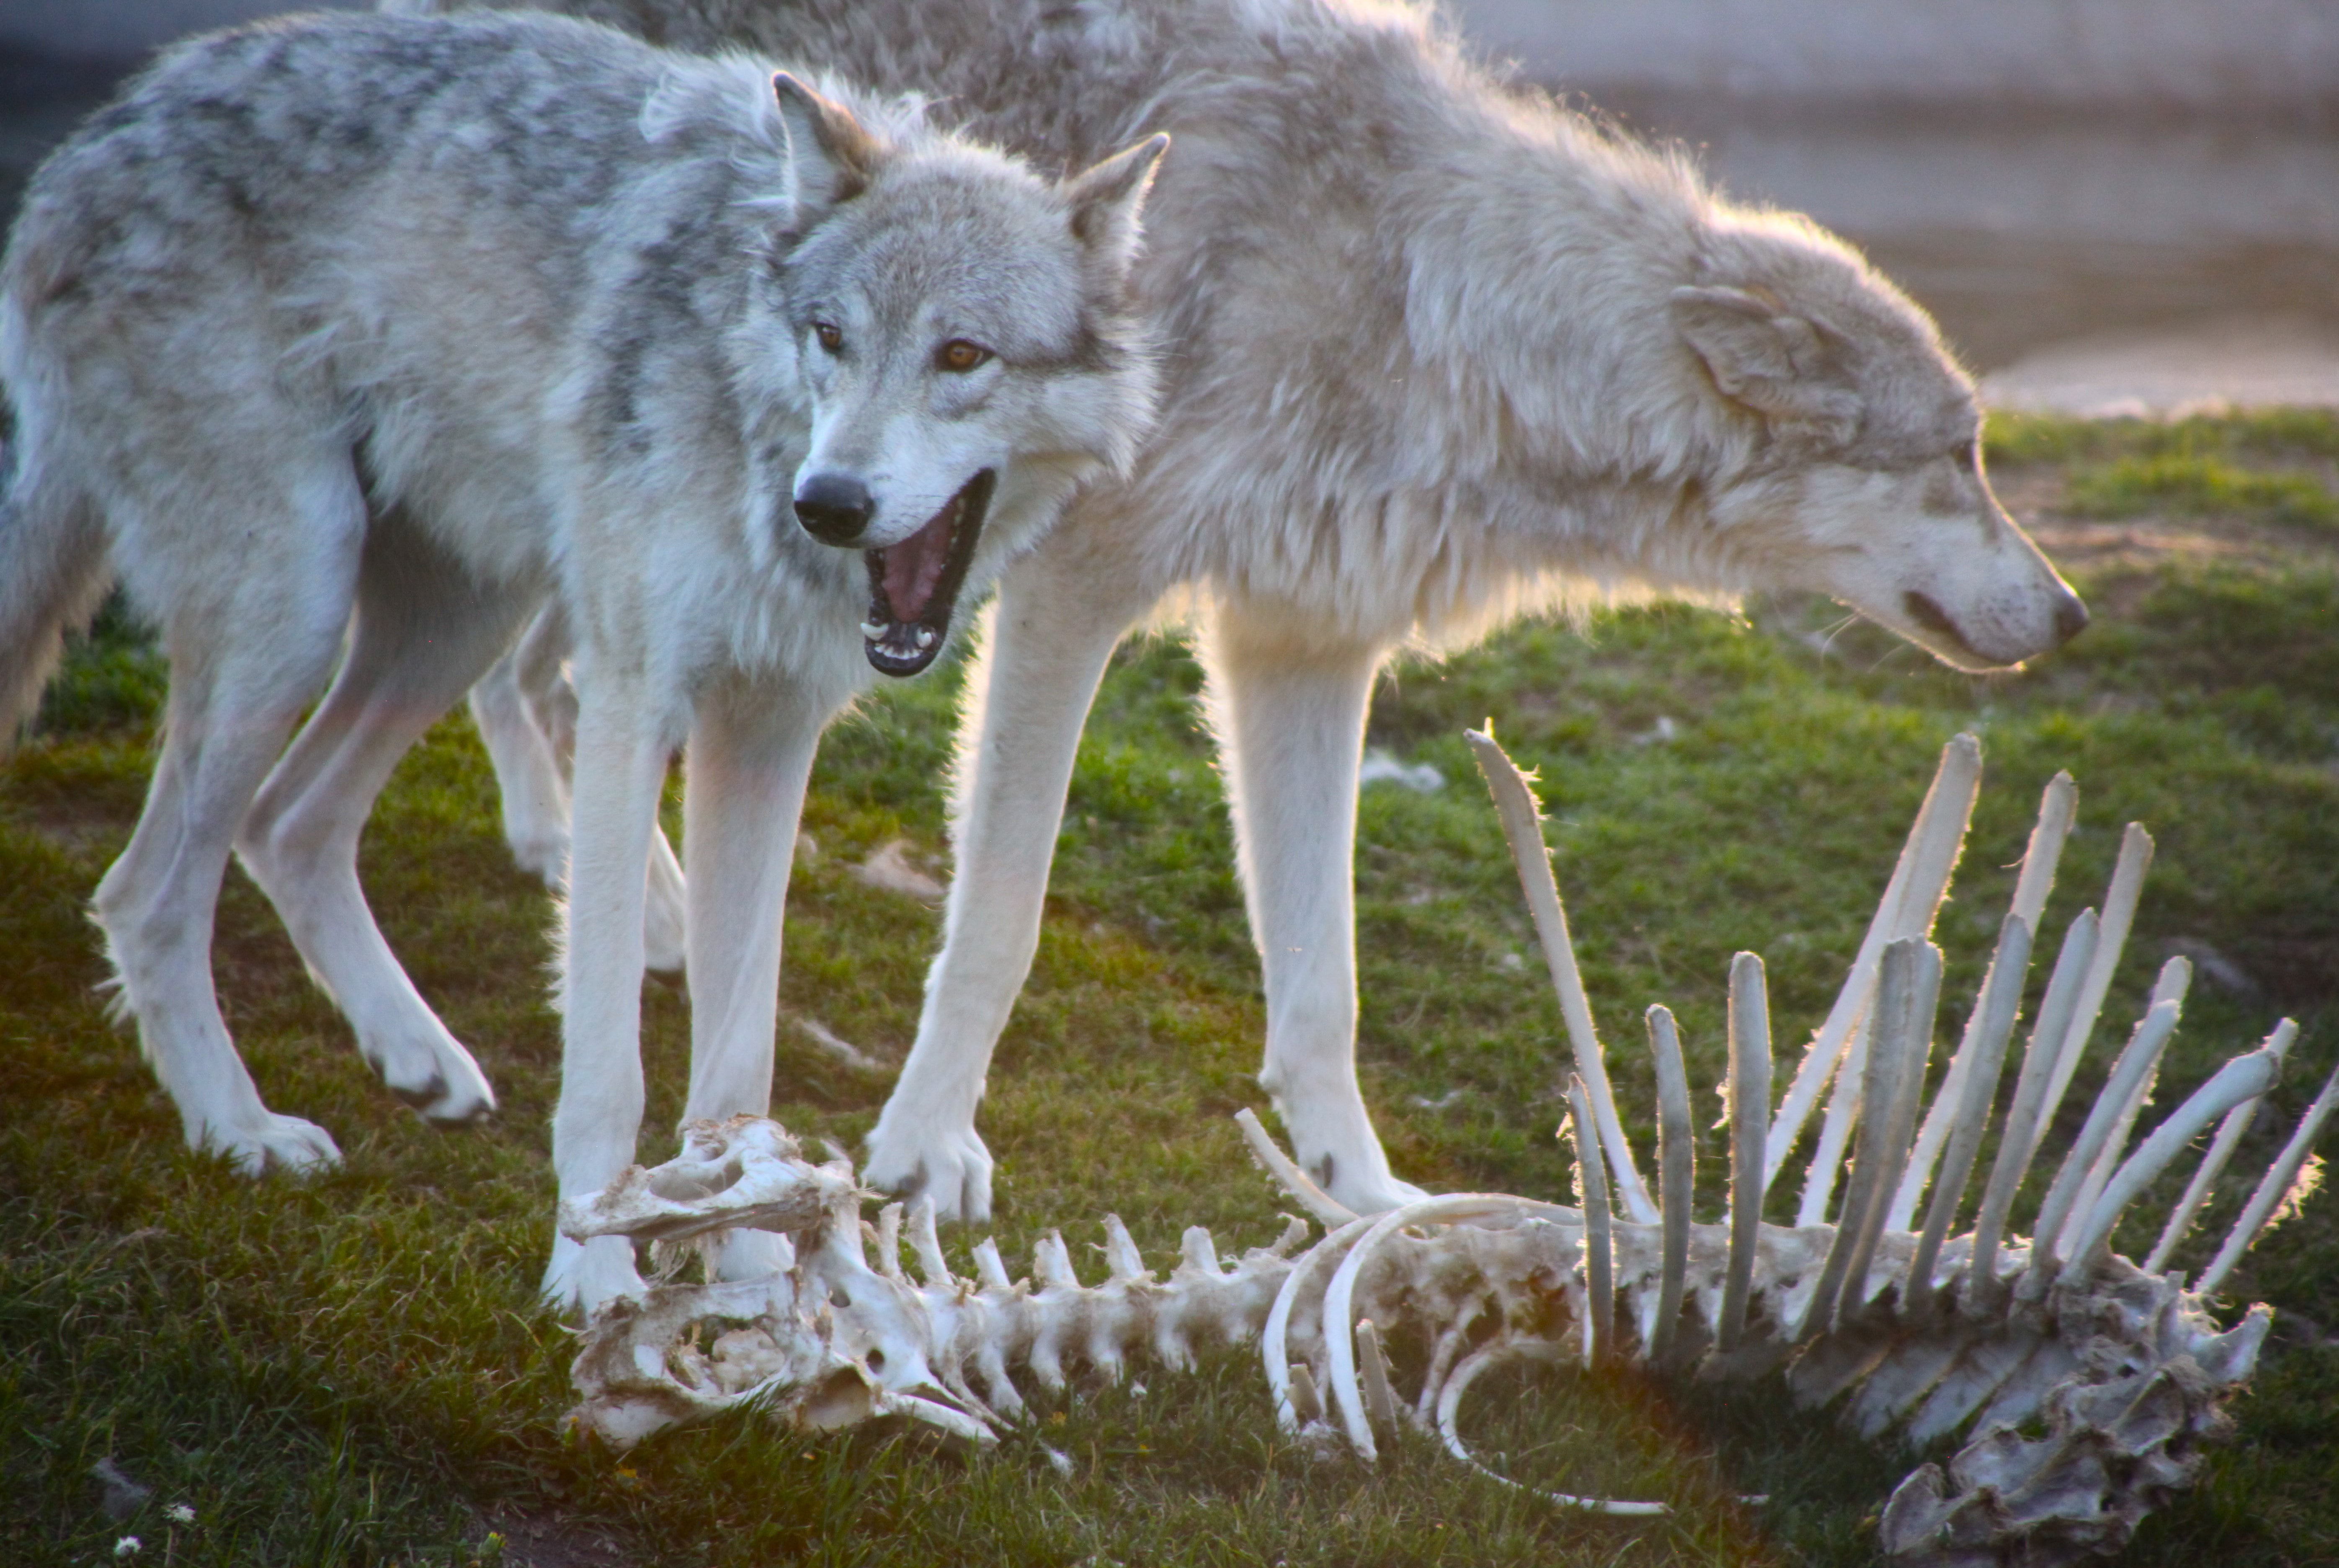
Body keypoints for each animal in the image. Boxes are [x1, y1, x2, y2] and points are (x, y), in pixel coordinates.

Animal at [0, 7, 1166, 1309]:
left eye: (962, 355)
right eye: (830, 338)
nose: (830, 504)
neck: (747, 415)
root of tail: (95, 139)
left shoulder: (765, 739)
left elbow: (741, 1056)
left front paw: (751, 1267)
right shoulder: (627, 705)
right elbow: (611, 1062)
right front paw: (596, 1271)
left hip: (449, 625)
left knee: (287, 824)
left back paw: (417, 1058)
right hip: (296, 613)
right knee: (144, 893)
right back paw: (241, 1130)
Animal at [411, 0, 2087, 1222]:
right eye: (1957, 458)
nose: (2068, 616)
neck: (1422, 301)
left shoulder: (1301, 647)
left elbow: (1319, 985)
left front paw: (1362, 1197)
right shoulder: (1070, 599)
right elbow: (1000, 922)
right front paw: (920, 1150)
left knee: (534, 678)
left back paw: (604, 885)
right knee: (548, 679)